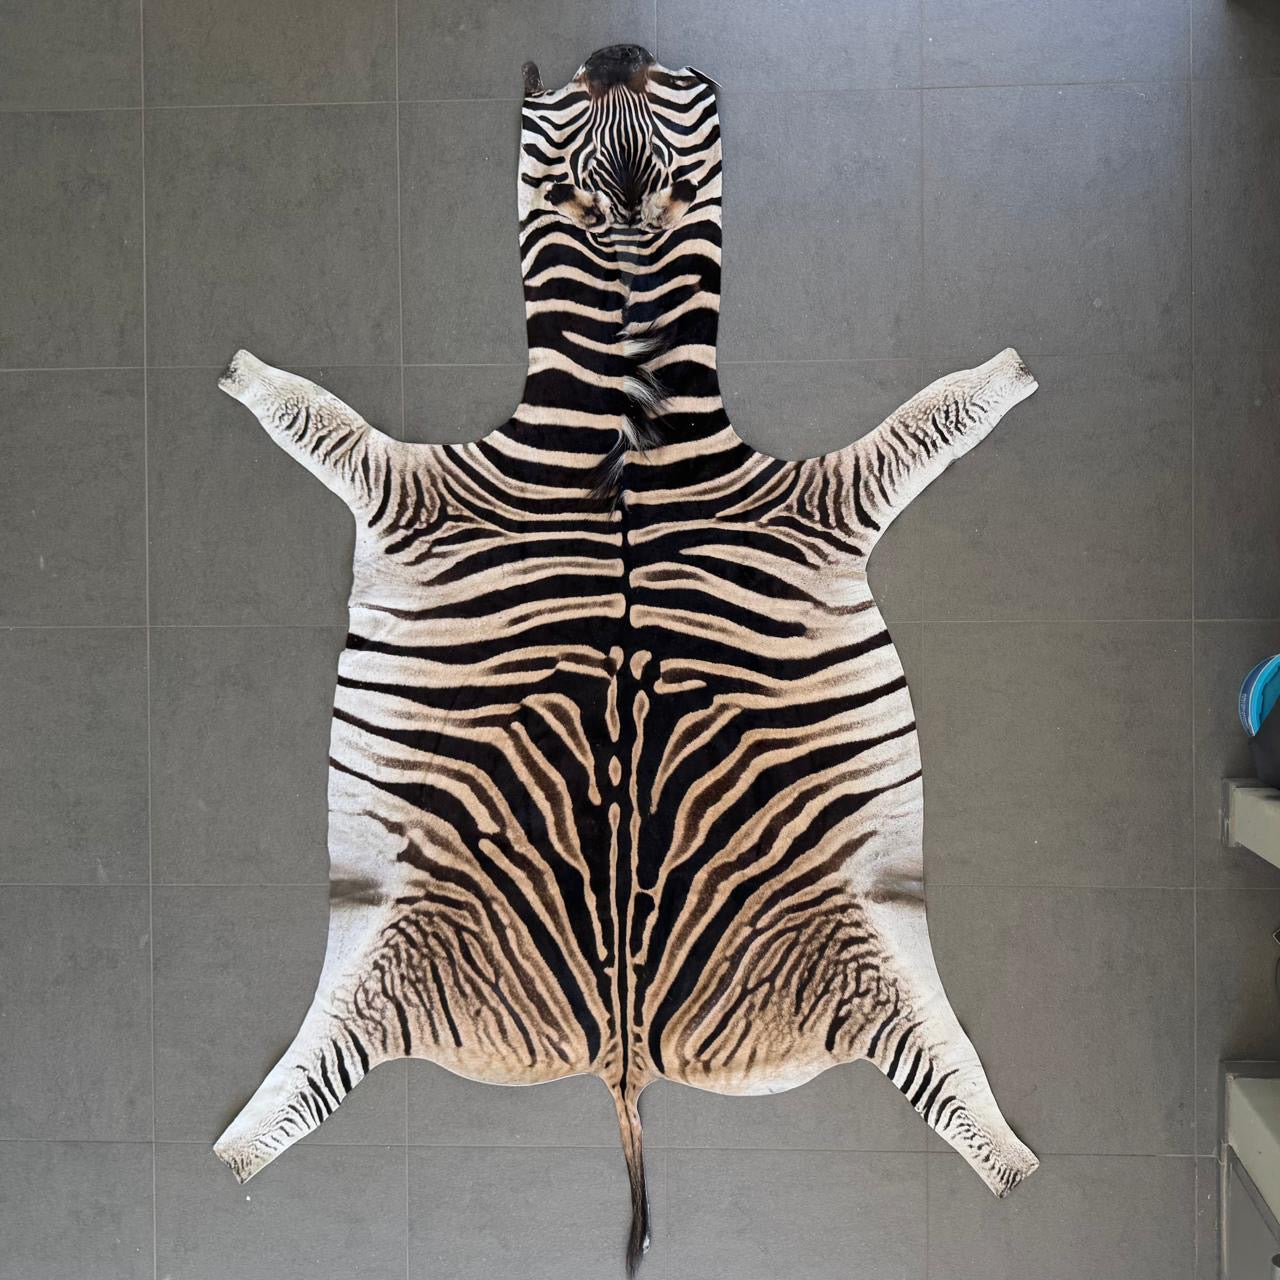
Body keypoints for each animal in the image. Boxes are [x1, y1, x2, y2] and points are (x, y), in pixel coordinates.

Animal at [212, 43, 1039, 1273]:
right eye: (568, 111)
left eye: (675, 89)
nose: (615, 49)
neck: (622, 427)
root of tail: (623, 1057)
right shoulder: (413, 491)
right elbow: (314, 415)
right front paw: (247, 375)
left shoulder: (820, 499)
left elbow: (929, 419)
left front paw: (1006, 375)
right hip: (402, 949)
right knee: (306, 1080)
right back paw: (232, 1152)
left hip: (849, 947)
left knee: (953, 1076)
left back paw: (1015, 1167)